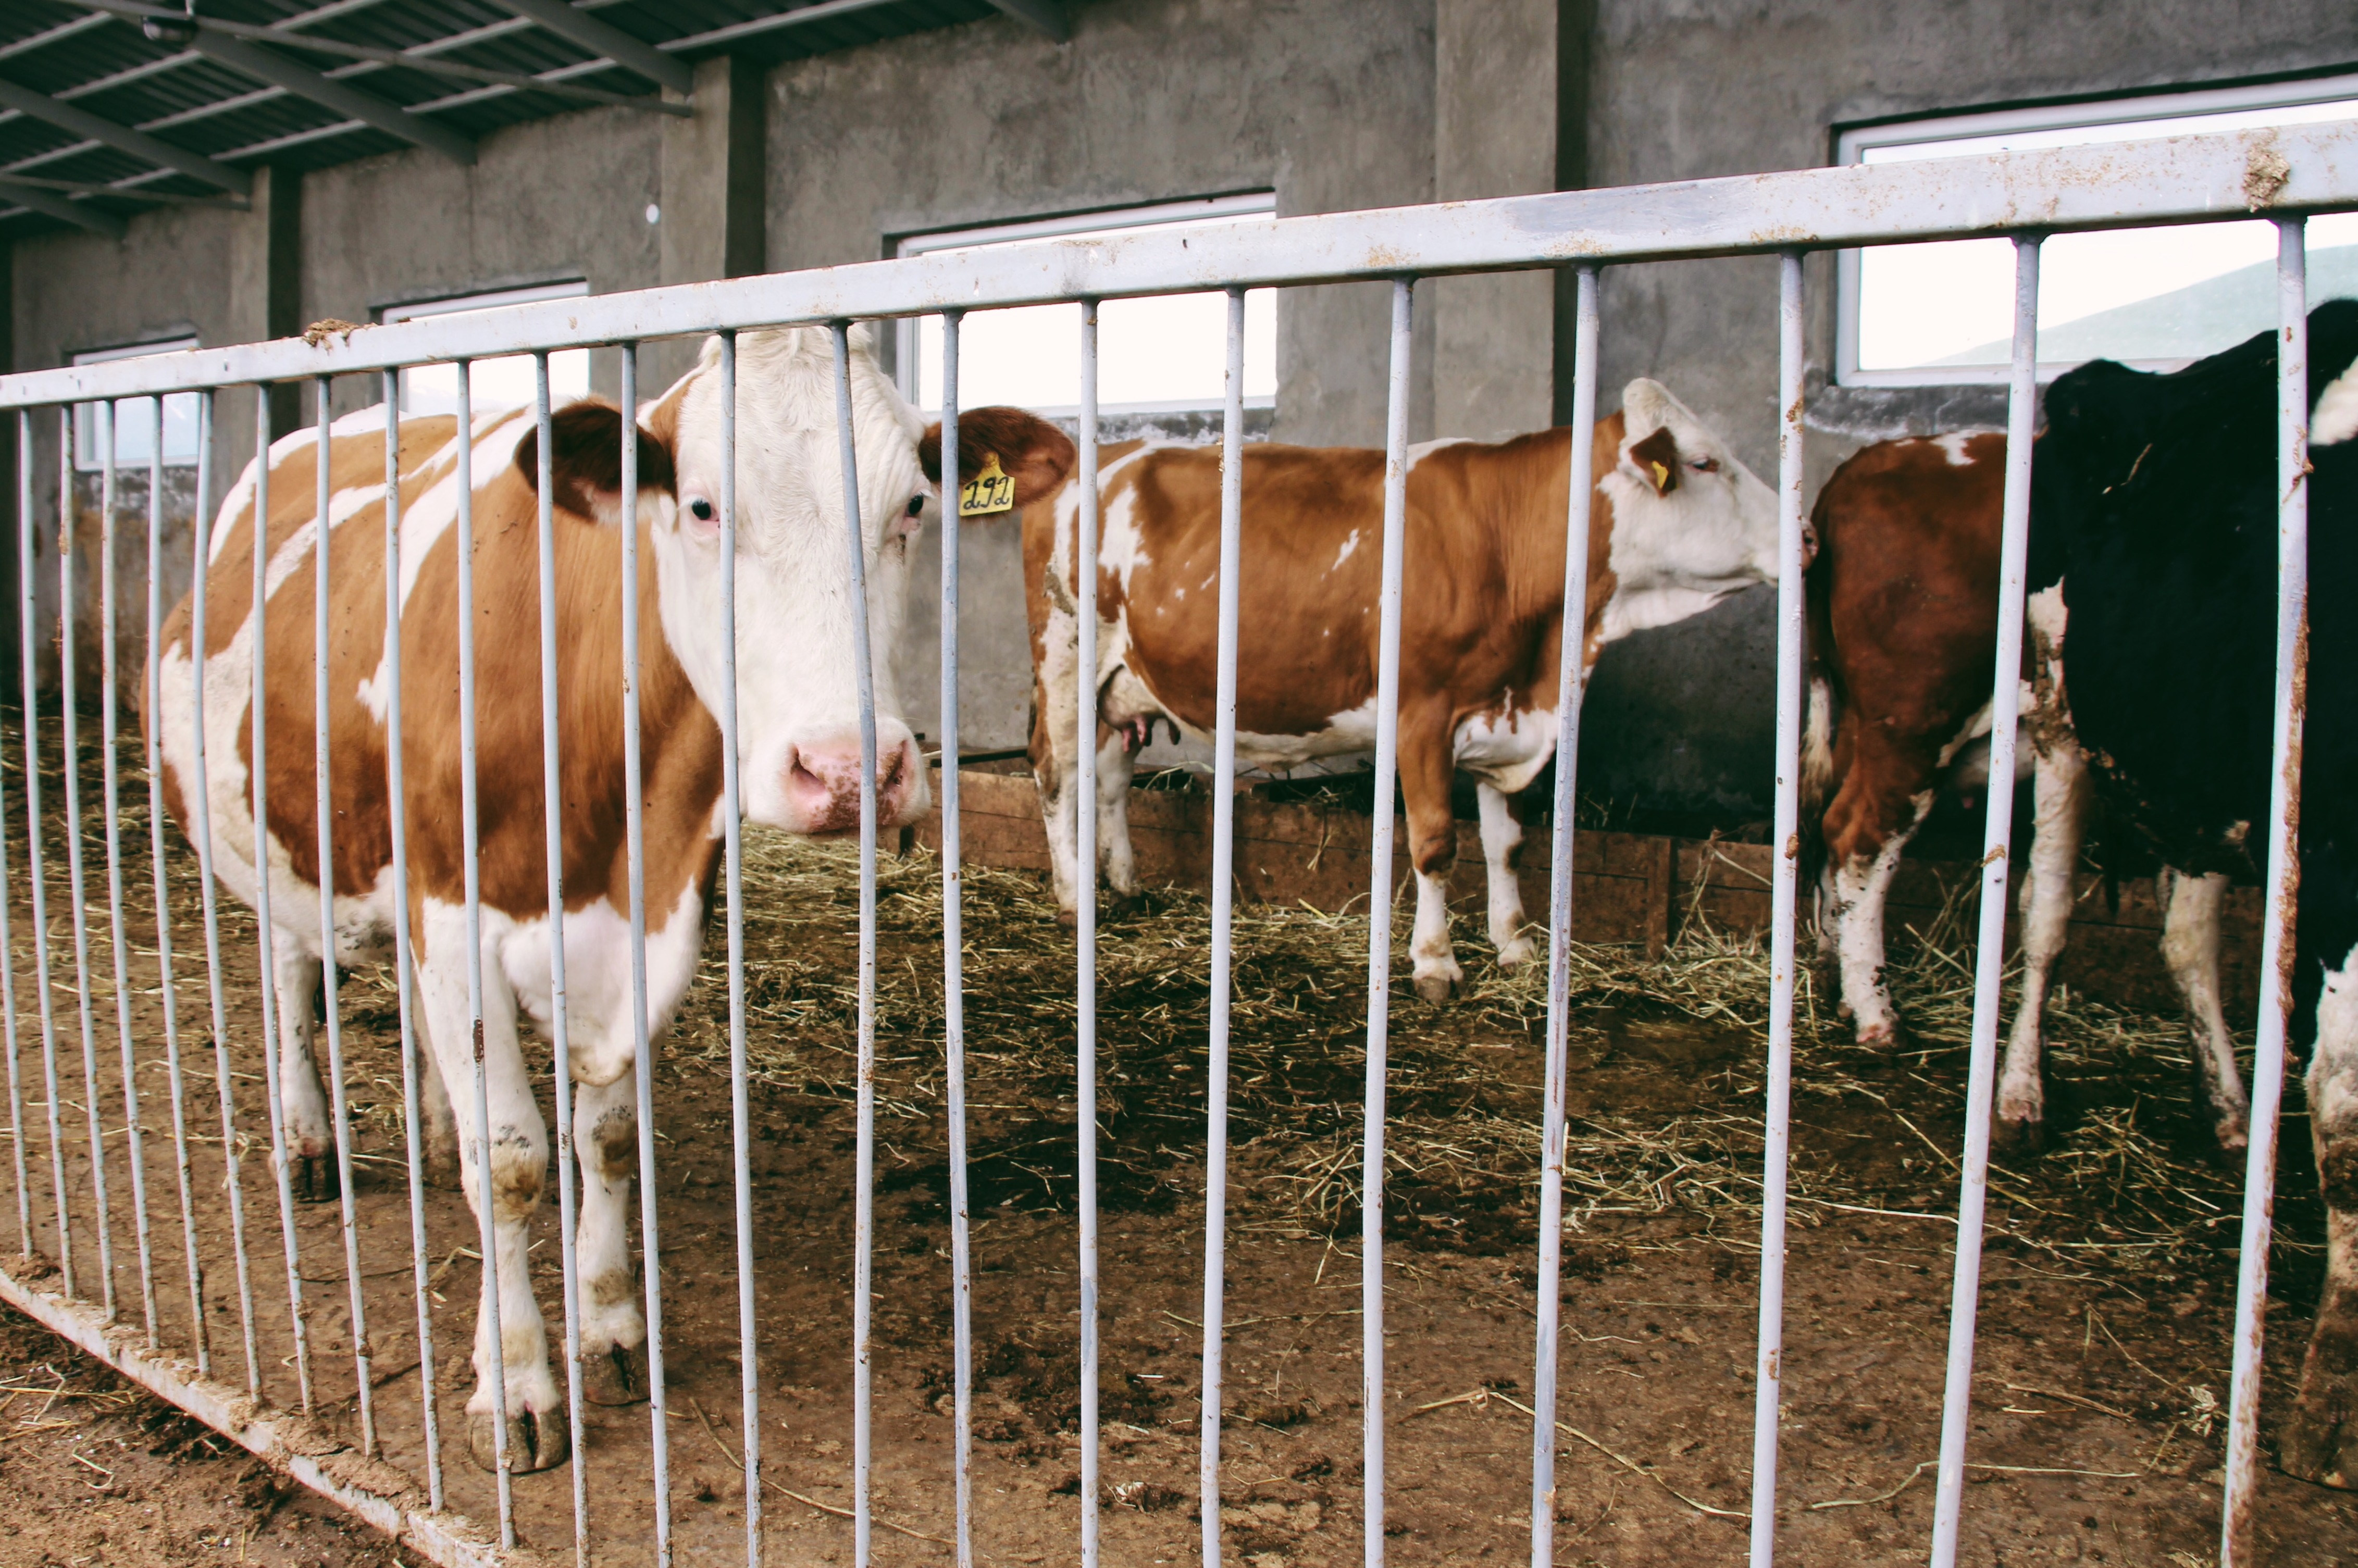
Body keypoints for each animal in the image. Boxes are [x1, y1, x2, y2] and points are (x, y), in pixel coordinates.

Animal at [1023, 377, 1773, 990]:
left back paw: (1123, 883)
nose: (1793, 535)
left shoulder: (1503, 712)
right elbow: (1435, 843)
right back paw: (1073, 899)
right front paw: (1436, 963)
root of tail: (1094, 453)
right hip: (1063, 654)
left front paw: (1515, 946)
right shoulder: (1422, 714)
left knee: (1109, 774)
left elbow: (1506, 842)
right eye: (1703, 462)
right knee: (1056, 772)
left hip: (1122, 680)